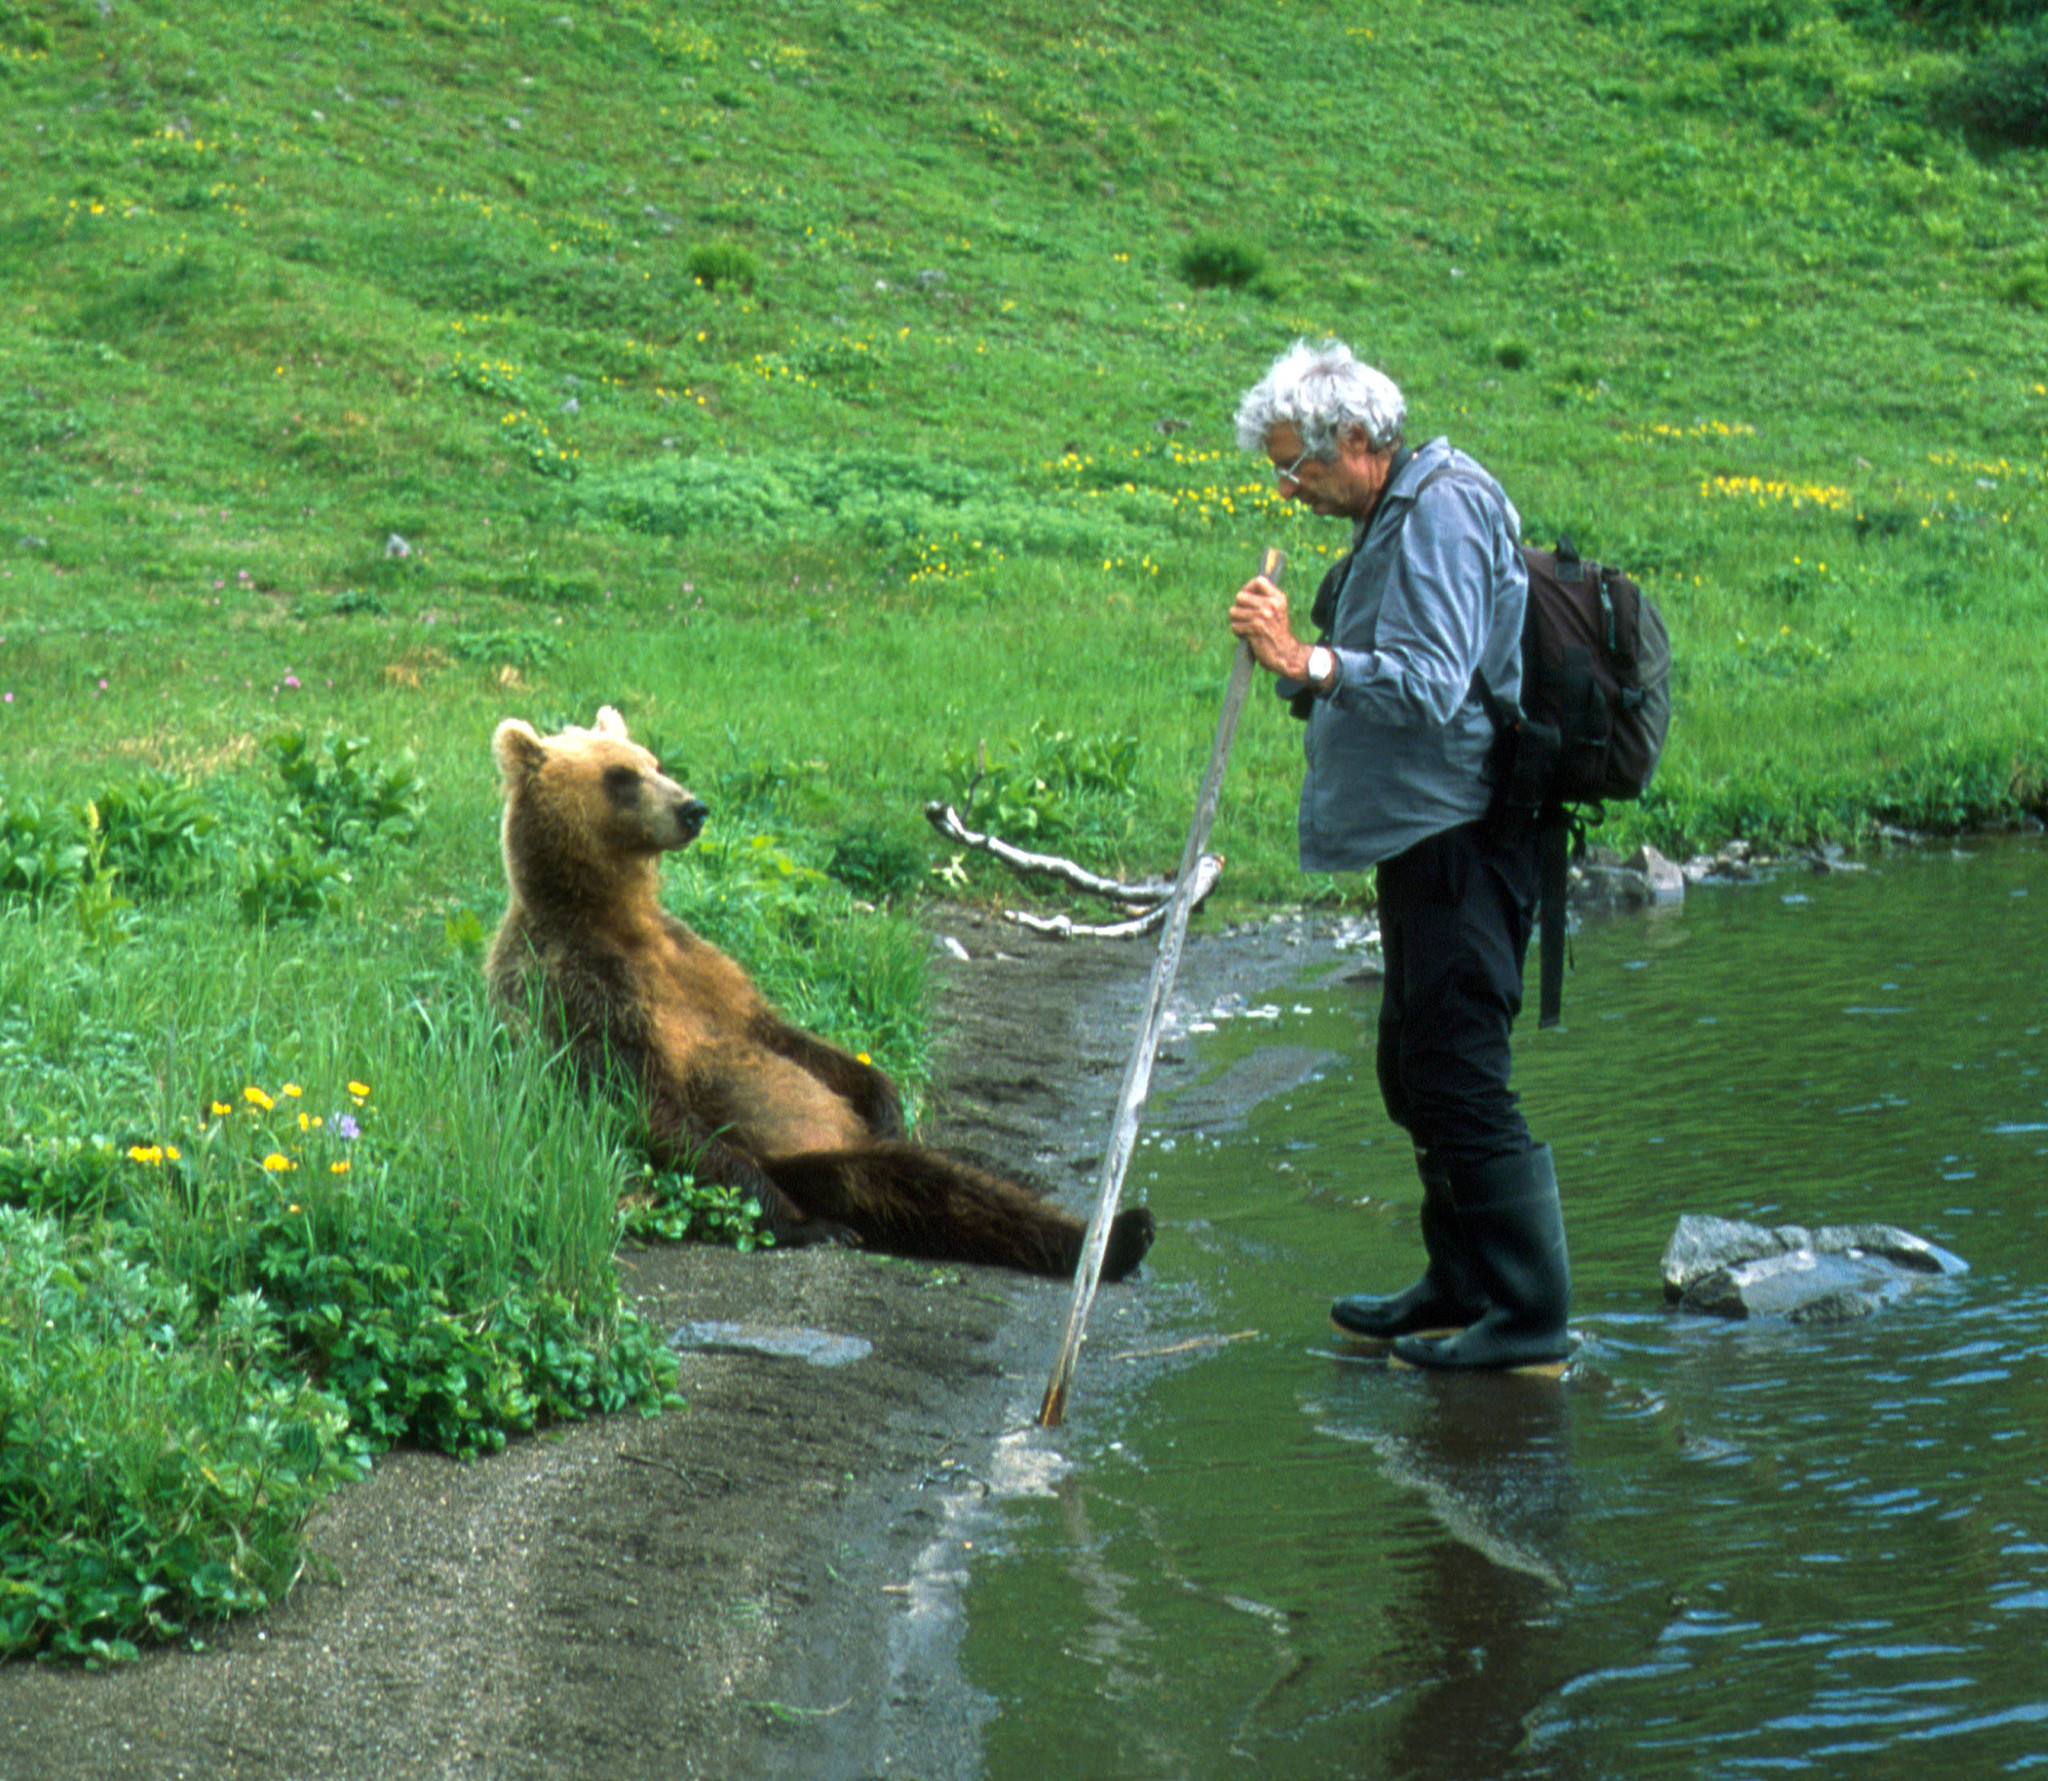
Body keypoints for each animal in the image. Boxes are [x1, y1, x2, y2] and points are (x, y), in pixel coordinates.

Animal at [479, 712, 1155, 1285]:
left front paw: (887, 1100)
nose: (692, 807)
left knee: (954, 1185)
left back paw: (1119, 1235)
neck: (615, 917)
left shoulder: (701, 967)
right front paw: (804, 1226)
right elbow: (648, 1101)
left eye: (654, 760)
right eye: (620, 776)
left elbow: (783, 1035)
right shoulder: (581, 987)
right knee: (892, 1182)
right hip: (806, 1162)